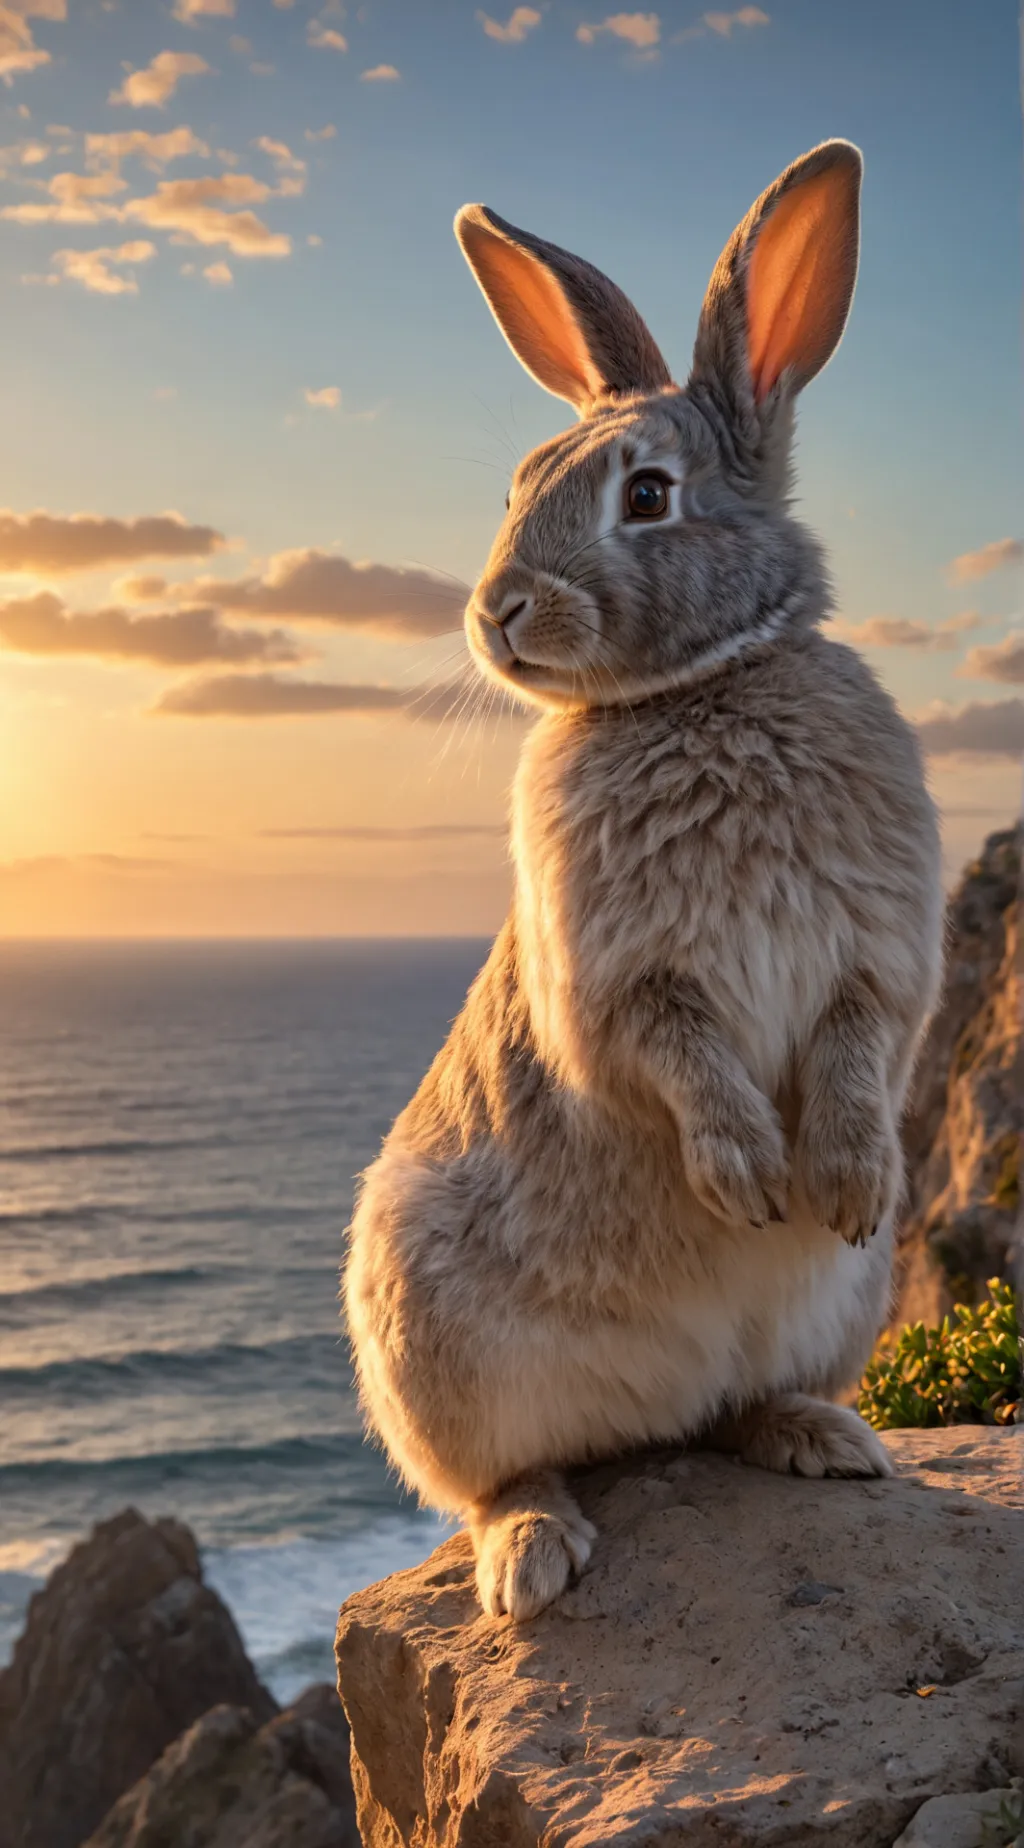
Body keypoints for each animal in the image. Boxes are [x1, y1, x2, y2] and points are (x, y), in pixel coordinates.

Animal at [343, 139, 945, 1622]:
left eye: (650, 495)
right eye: (515, 483)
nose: (496, 611)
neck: (698, 685)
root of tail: (650, 1404)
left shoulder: (879, 955)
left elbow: (859, 1046)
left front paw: (836, 1183)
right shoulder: (624, 982)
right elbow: (676, 1058)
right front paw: (746, 1181)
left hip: (839, 1311)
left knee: (730, 1413)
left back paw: (826, 1438)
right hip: (430, 1341)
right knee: (504, 1475)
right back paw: (533, 1557)